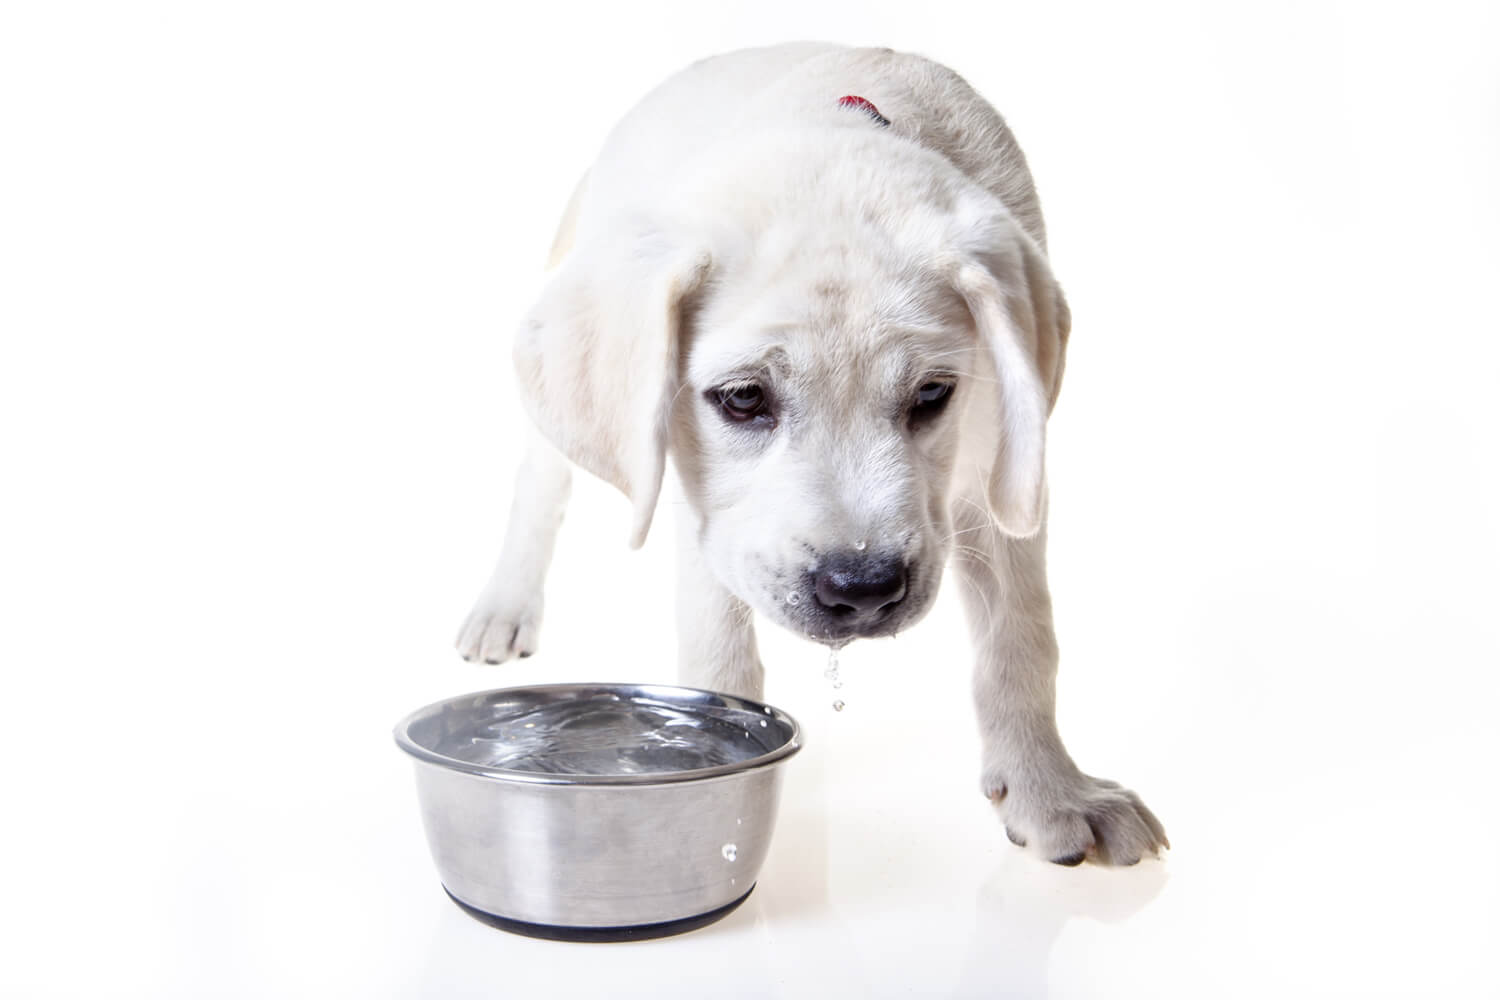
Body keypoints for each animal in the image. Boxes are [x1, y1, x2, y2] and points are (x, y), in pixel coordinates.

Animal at [456, 43, 1170, 863]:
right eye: (742, 399)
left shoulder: (1000, 470)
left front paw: (1050, 791)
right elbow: (717, 645)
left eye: (933, 393)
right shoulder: (710, 515)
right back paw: (503, 608)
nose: (862, 590)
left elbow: (1021, 635)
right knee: (539, 485)